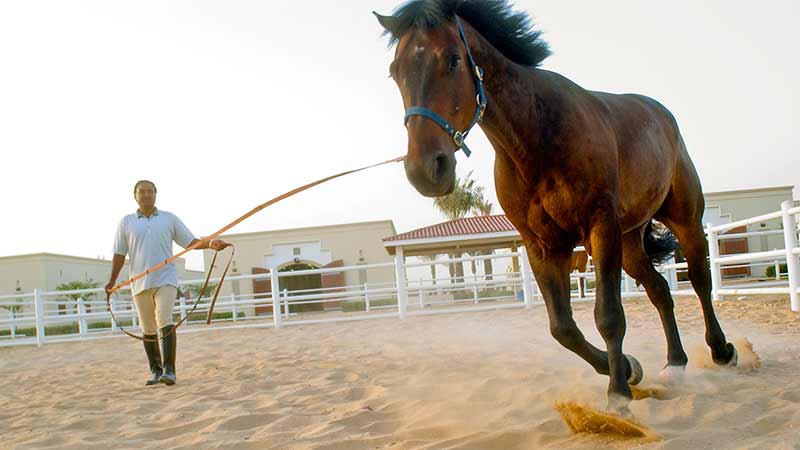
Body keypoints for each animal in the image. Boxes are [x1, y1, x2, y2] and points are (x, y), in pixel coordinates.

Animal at [376, 0, 736, 414]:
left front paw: (618, 393)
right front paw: (629, 369)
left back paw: (722, 350)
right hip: (630, 242)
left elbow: (609, 316)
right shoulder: (543, 245)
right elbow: (562, 328)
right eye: (395, 72)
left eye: (452, 59)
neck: (539, 138)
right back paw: (675, 363)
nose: (425, 169)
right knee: (660, 290)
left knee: (700, 280)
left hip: (684, 220)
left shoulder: (599, 228)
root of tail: (662, 115)